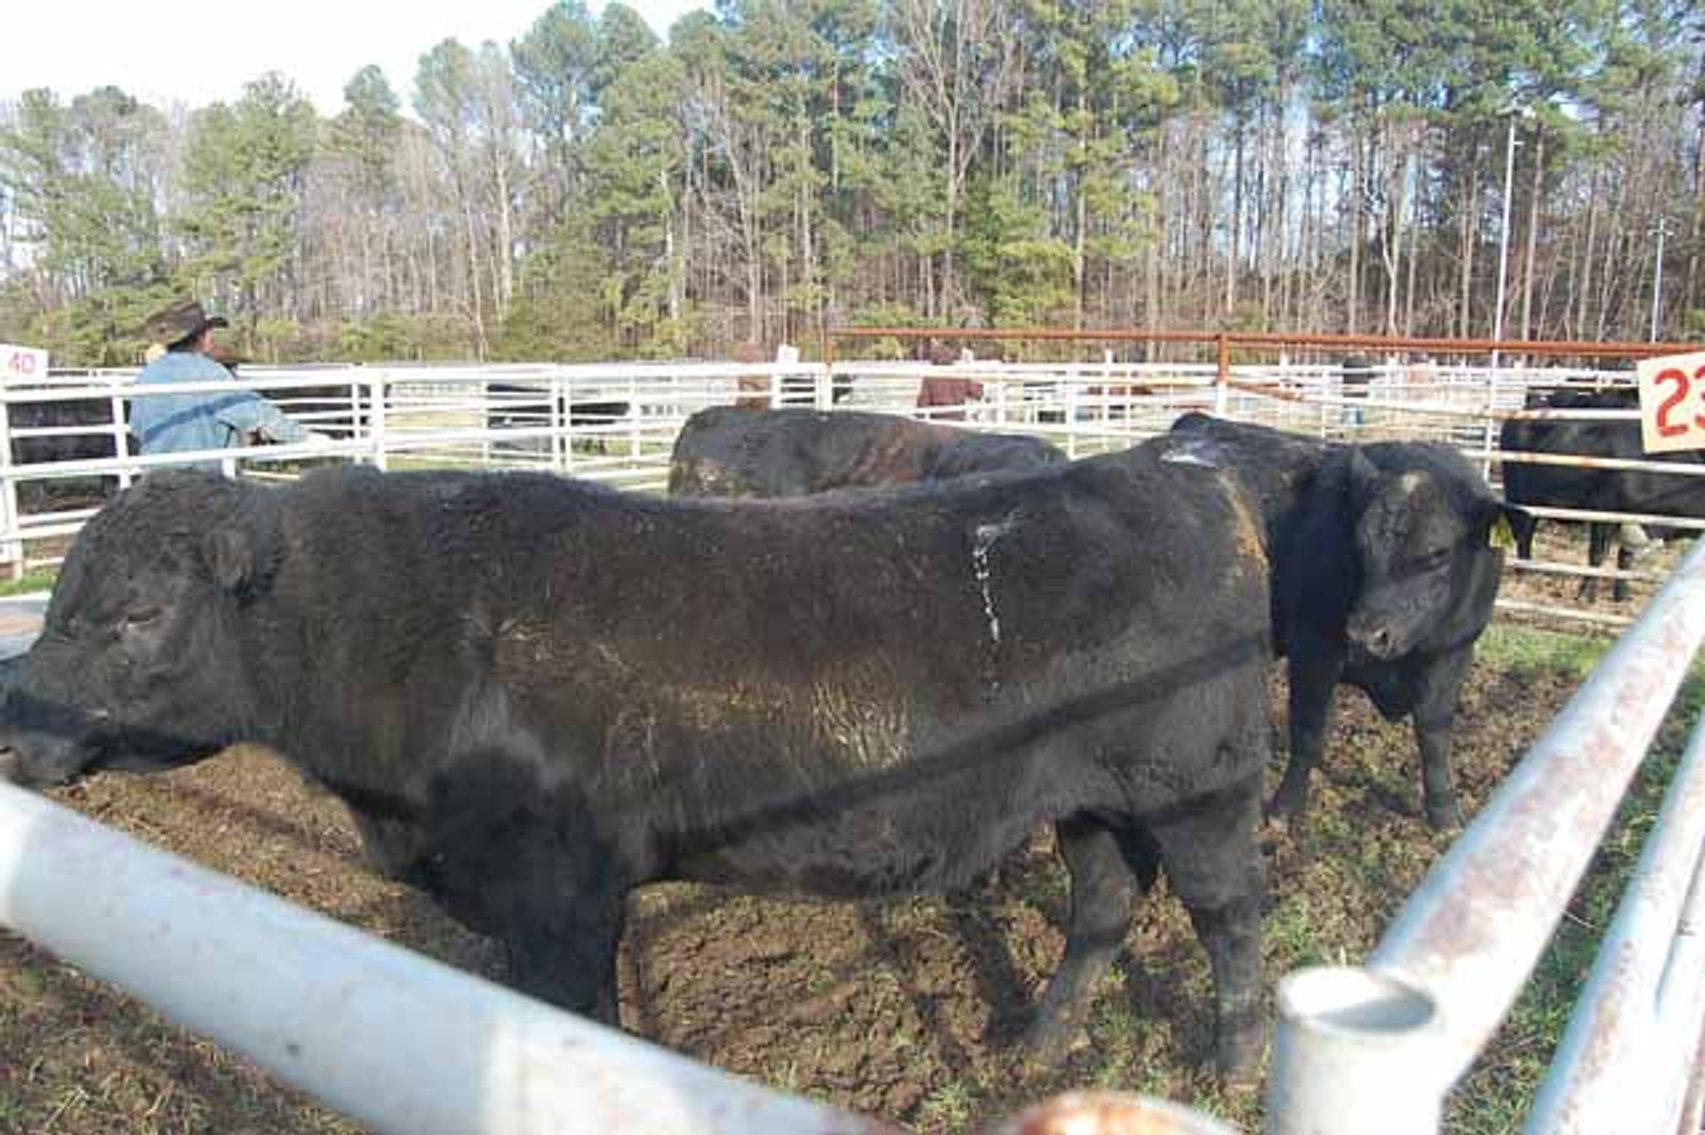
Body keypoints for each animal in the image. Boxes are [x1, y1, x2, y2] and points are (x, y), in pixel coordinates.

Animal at [0, 456, 1275, 1076]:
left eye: (136, 612)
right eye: (58, 602)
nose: (13, 725)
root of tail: (1191, 477)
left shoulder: (561, 896)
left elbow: (579, 1017)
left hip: (1203, 791)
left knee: (1228, 918)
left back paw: (1232, 1061)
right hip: (1088, 801)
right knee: (1103, 906)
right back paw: (1037, 1045)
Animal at [1162, 413, 1523, 829]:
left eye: (1438, 553)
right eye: (1360, 545)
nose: (1367, 634)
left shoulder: (1454, 651)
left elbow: (1434, 733)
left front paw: (1445, 812)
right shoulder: (1314, 646)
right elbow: (1308, 728)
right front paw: (1285, 807)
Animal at [1498, 386, 1691, 602]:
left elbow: (1625, 557)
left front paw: (1621, 595)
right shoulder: (1604, 511)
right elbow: (1598, 554)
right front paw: (1585, 594)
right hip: (1520, 497)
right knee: (1523, 533)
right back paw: (1524, 572)